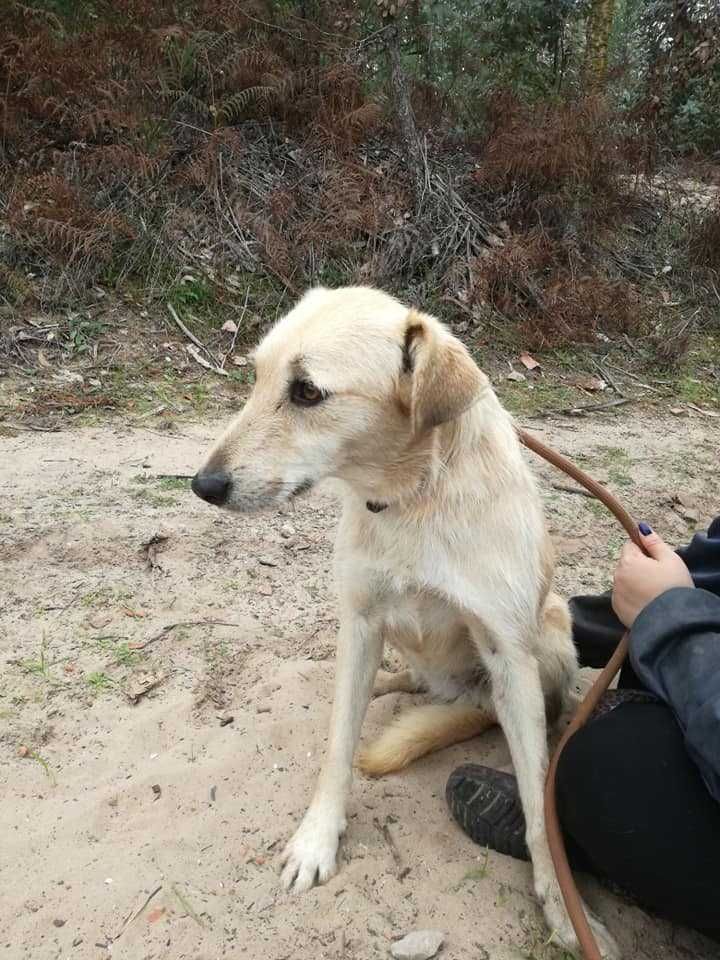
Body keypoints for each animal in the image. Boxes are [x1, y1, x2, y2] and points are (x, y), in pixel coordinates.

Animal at [191, 286, 620, 960]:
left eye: (307, 392)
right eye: (255, 376)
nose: (202, 485)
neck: (414, 496)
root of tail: (462, 697)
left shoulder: (510, 656)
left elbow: (538, 807)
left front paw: (561, 906)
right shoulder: (361, 622)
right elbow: (338, 746)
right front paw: (318, 839)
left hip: (551, 633)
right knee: (398, 681)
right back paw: (388, 685)